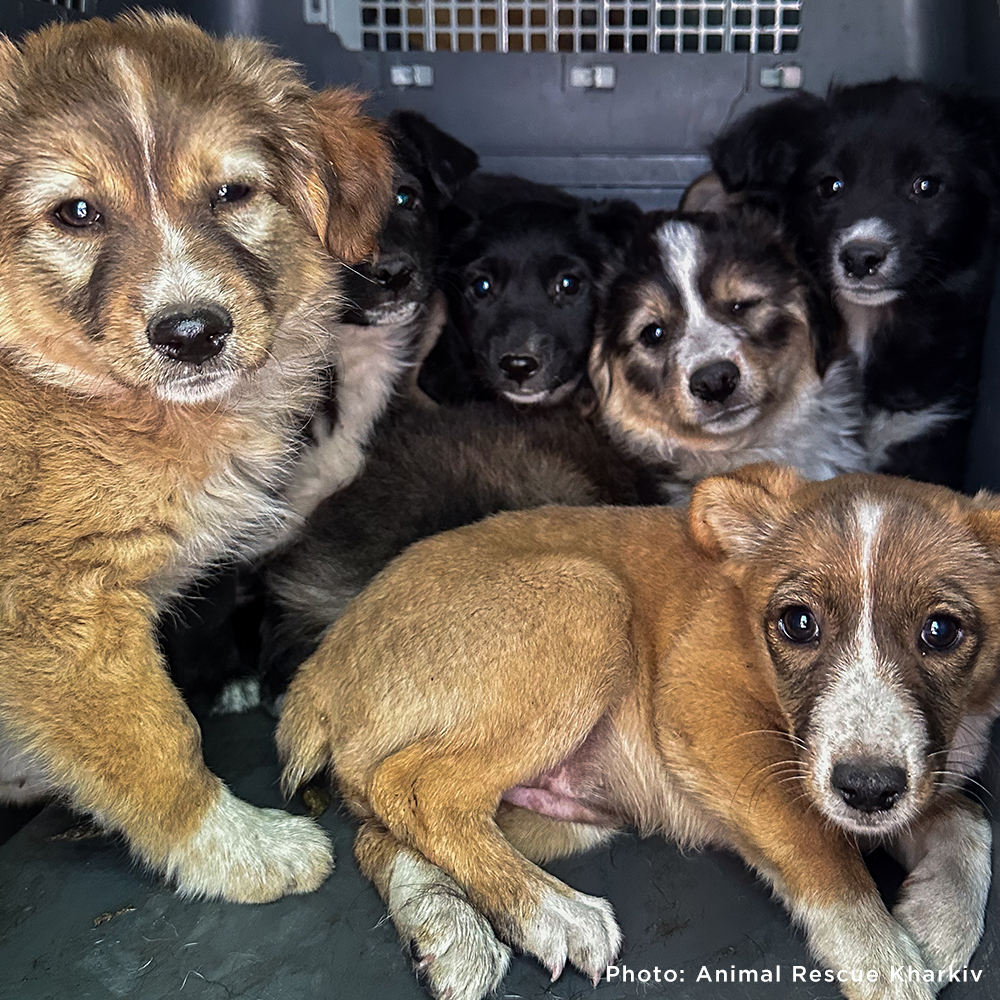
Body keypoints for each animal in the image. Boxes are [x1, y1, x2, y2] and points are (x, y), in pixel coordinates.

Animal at [0, 13, 392, 901]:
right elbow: (156, 740)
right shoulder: (55, 613)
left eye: (231, 194)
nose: (192, 333)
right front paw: (237, 849)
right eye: (76, 212)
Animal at [279, 463, 1000, 1000]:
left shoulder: (918, 775)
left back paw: (447, 928)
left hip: (557, 815)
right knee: (420, 790)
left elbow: (967, 821)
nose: (868, 790)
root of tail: (324, 658)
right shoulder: (703, 712)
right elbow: (818, 843)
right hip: (588, 599)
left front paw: (936, 921)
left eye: (942, 631)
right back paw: (553, 914)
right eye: (798, 623)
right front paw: (886, 959)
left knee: (378, 831)